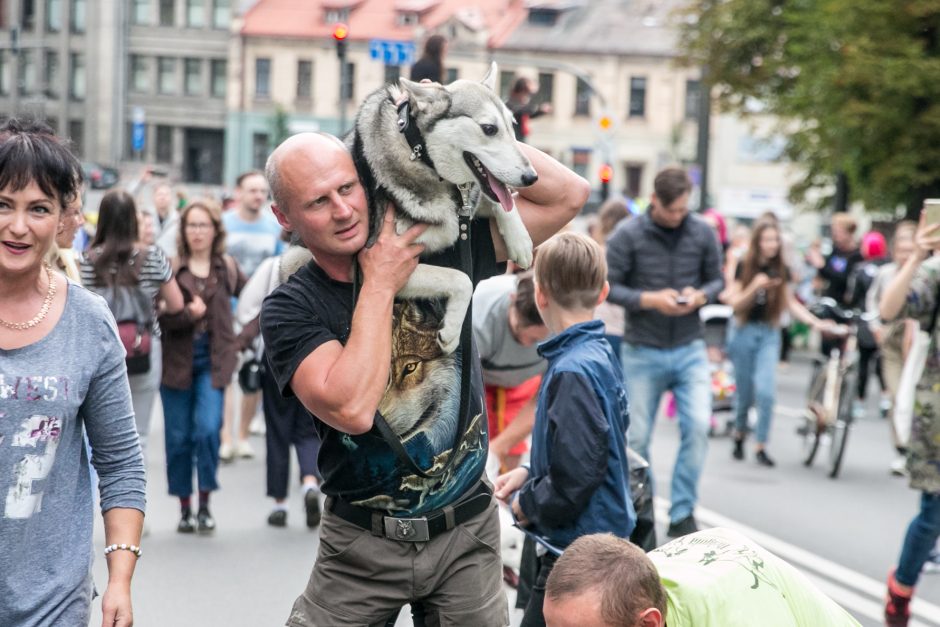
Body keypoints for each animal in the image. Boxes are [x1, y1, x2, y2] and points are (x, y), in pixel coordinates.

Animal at [350, 65, 536, 356]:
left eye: (512, 126)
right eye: (489, 129)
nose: (532, 177)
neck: (423, 158)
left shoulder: (472, 201)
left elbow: (501, 201)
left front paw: (521, 241)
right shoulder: (378, 266)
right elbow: (461, 278)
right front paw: (451, 331)